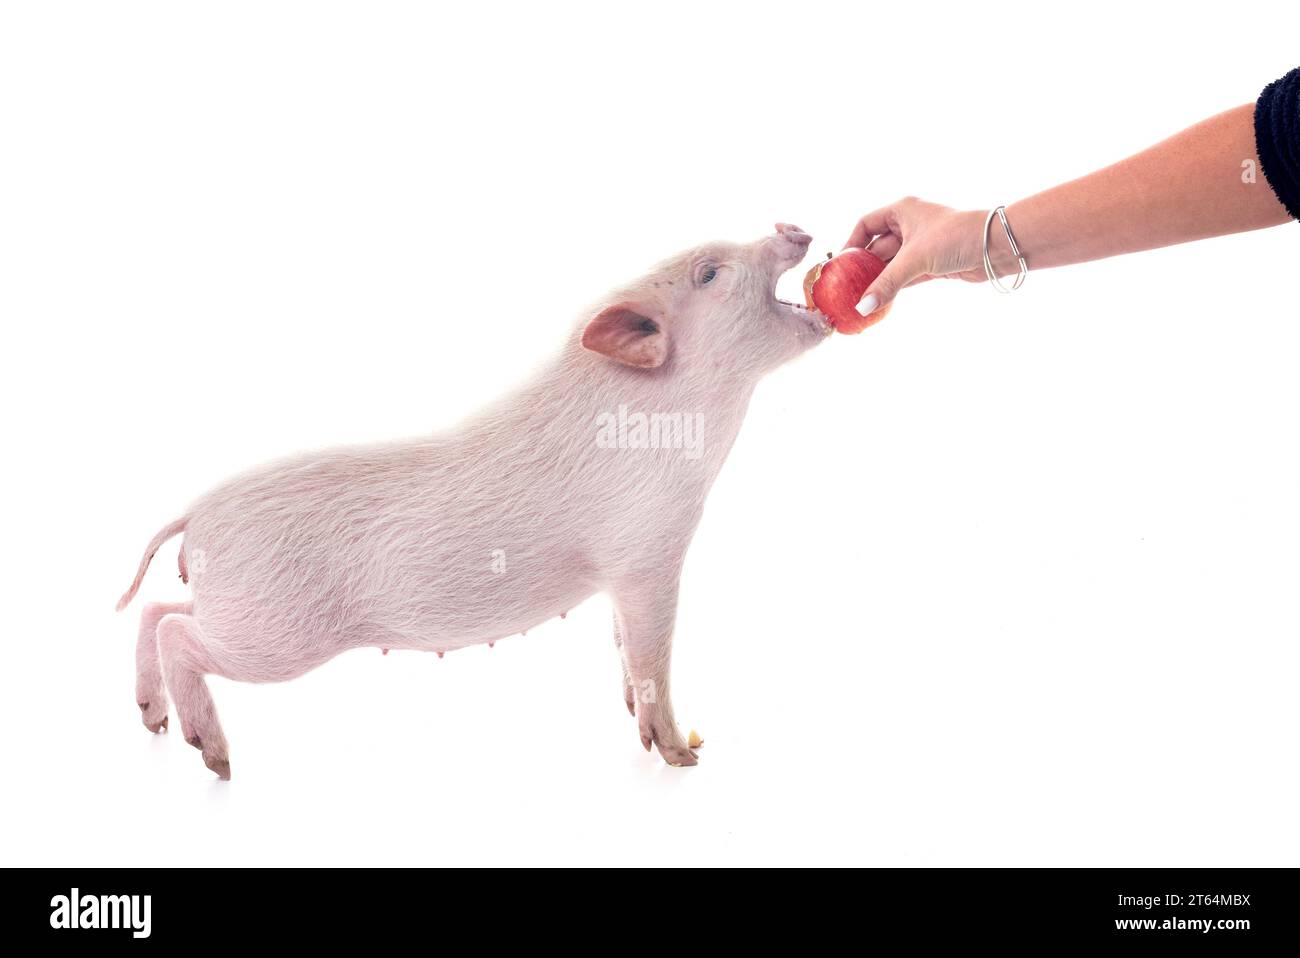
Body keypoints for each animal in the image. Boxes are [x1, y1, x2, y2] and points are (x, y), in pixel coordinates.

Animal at [124, 223, 832, 779]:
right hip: (275, 631)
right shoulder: (648, 552)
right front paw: (683, 758)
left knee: (157, 611)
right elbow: (651, 650)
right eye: (709, 273)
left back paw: (152, 723)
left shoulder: (623, 575)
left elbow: (622, 644)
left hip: (240, 609)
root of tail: (199, 515)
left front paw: (639, 720)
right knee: (178, 633)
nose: (791, 224)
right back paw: (217, 760)